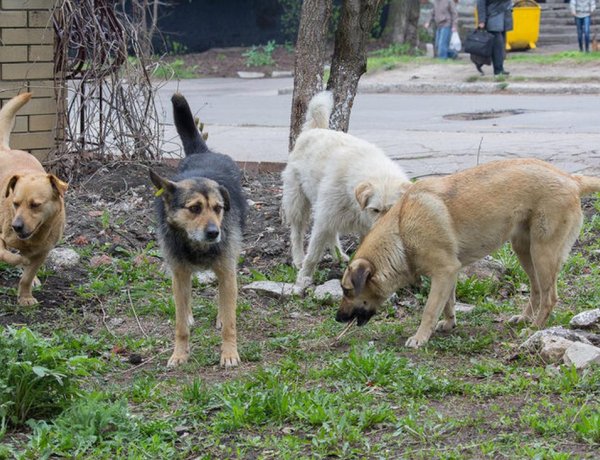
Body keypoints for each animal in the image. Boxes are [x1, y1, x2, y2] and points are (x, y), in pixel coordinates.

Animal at [0, 93, 68, 306]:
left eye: (35, 205)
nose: (16, 226)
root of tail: (6, 150)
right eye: (15, 203)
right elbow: (6, 254)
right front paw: (19, 261)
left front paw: (25, 296)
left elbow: (27, 276)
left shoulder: (42, 251)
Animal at [150, 92, 246, 366]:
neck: (197, 245)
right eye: (194, 208)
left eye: (218, 208)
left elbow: (231, 321)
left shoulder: (227, 271)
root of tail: (204, 152)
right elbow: (180, 324)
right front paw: (179, 354)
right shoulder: (179, 272)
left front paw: (229, 353)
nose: (215, 233)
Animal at [282, 90, 408, 288]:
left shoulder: (363, 228)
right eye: (375, 210)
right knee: (297, 232)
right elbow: (314, 254)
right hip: (298, 202)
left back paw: (339, 256)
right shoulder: (323, 220)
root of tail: (314, 130)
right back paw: (298, 259)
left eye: (392, 209)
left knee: (332, 234)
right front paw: (304, 278)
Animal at [336, 159, 600, 348]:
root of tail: (571, 179)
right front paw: (449, 323)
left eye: (347, 291)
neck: (401, 231)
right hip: (525, 250)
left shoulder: (444, 272)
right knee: (537, 290)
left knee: (550, 297)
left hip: (543, 253)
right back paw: (525, 319)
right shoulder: (448, 274)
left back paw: (534, 327)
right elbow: (447, 303)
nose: (338, 318)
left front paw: (420, 337)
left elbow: (430, 310)